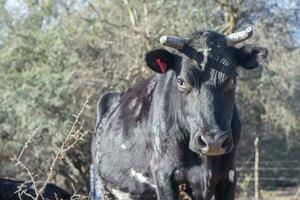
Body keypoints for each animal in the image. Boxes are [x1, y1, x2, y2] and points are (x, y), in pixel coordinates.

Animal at [91, 27, 268, 200]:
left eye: (232, 79)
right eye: (181, 81)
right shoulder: (164, 176)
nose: (213, 141)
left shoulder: (228, 175)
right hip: (104, 187)